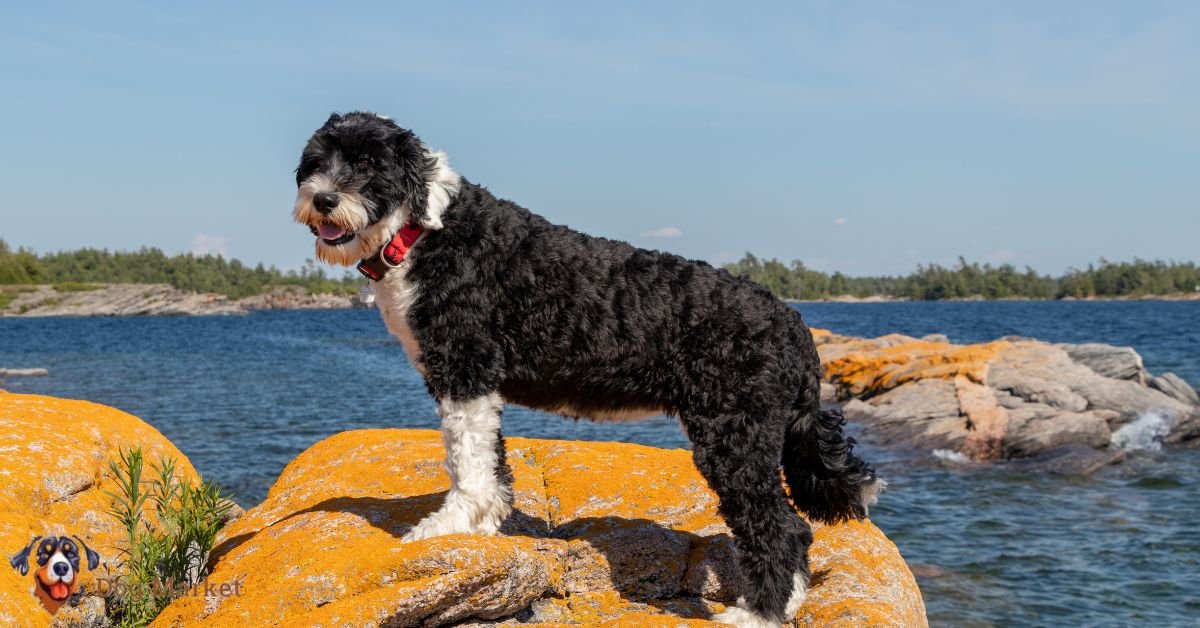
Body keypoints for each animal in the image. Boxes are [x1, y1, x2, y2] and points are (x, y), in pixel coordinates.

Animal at [292, 112, 883, 628]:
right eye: (316, 161)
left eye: (368, 164)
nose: (323, 197)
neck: (423, 232)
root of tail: (792, 323)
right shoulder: (475, 383)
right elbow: (490, 461)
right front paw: (484, 522)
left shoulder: (465, 368)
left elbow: (467, 461)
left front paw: (450, 525)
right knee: (796, 533)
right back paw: (786, 605)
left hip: (734, 436)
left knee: (780, 528)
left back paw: (757, 614)